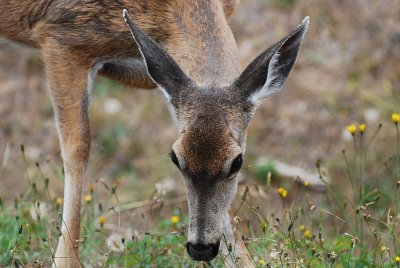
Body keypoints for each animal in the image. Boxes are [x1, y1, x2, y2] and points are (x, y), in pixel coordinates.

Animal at [0, 0, 310, 266]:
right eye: (174, 159)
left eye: (237, 162)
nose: (200, 249)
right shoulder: (61, 38)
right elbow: (77, 148)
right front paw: (65, 260)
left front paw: (243, 261)